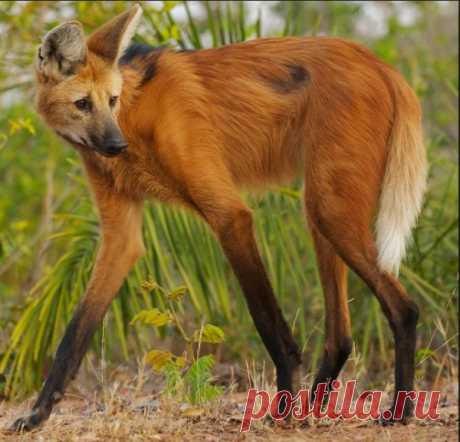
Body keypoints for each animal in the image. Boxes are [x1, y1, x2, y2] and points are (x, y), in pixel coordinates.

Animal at [10, 4, 428, 432]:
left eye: (111, 100)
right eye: (83, 104)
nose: (115, 145)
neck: (136, 116)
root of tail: (382, 65)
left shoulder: (230, 215)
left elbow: (266, 320)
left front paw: (280, 411)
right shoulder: (120, 236)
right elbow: (75, 332)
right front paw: (37, 414)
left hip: (331, 211)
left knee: (404, 309)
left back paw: (398, 411)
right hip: (320, 211)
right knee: (341, 335)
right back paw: (313, 407)